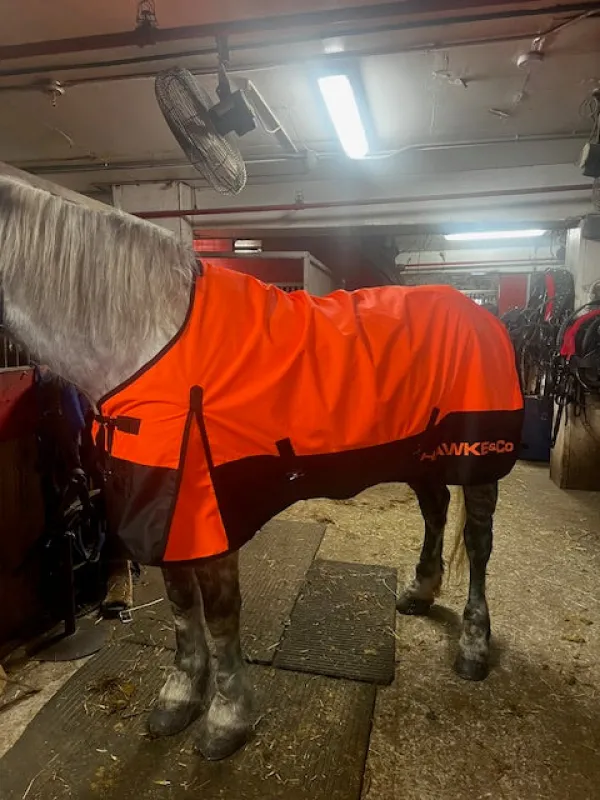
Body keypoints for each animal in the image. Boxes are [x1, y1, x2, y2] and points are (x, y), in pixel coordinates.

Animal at [0, 176, 523, 761]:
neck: (148, 340)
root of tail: (482, 313)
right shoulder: (164, 510)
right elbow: (181, 607)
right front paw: (180, 697)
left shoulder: (210, 512)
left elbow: (220, 615)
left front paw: (227, 720)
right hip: (419, 454)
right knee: (435, 512)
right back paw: (419, 592)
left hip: (478, 462)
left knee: (478, 546)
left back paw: (473, 646)